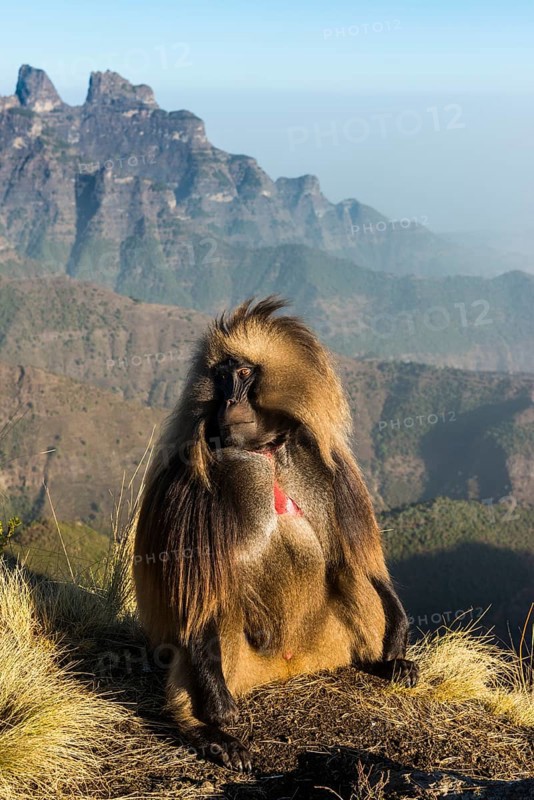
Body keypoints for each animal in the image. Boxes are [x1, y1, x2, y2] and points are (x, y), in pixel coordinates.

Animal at [134, 297, 418, 772]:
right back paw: (213, 734)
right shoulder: (187, 479)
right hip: (243, 666)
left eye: (245, 372)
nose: (228, 401)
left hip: (328, 642)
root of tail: (289, 669)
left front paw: (396, 635)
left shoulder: (327, 464)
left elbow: (356, 559)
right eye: (221, 374)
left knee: (350, 577)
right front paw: (215, 719)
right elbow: (196, 593)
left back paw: (381, 664)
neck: (262, 449)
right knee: (218, 610)